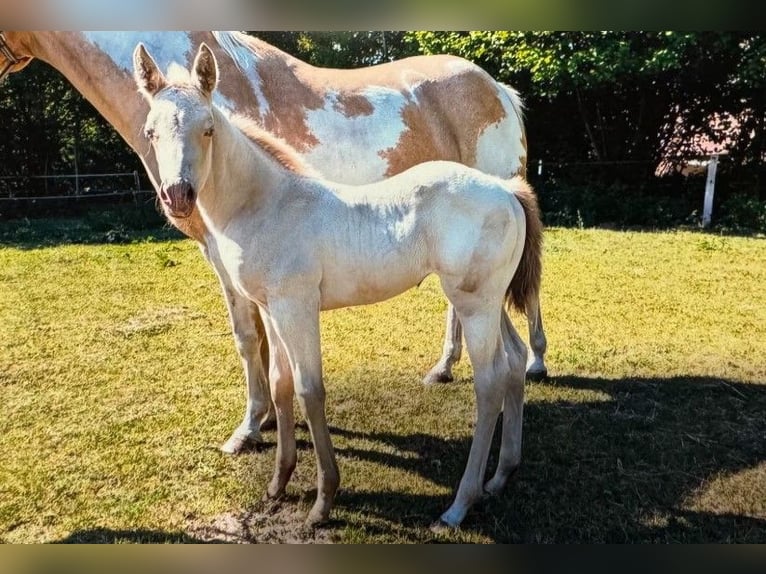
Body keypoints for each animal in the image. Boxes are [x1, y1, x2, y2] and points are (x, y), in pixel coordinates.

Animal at [0, 31, 548, 455]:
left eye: (208, 129)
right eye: (150, 131)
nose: (177, 196)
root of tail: (496, 86)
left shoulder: (228, 258)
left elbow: (248, 338)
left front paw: (250, 427)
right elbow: (264, 342)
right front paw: (267, 420)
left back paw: (536, 363)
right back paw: (446, 369)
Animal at [134, 42, 543, 529]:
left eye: (209, 129)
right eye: (151, 132)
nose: (178, 196)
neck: (269, 204)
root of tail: (506, 189)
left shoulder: (297, 306)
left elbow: (310, 391)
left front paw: (323, 501)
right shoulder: (272, 308)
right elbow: (281, 385)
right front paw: (278, 484)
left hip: (475, 304)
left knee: (490, 383)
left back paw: (459, 505)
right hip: (488, 300)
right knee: (514, 360)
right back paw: (501, 476)